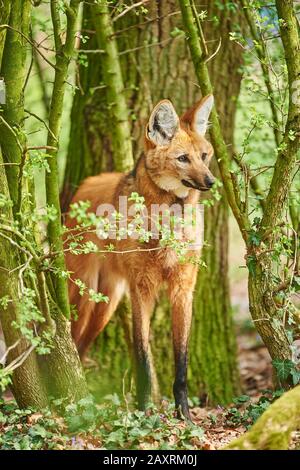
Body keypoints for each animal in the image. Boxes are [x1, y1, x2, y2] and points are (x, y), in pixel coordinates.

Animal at [65, 94, 216, 418]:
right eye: (183, 158)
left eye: (205, 155)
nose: (210, 181)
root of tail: (84, 185)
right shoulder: (141, 288)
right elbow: (143, 356)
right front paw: (144, 410)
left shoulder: (182, 288)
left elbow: (181, 360)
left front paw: (184, 414)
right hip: (85, 294)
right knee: (67, 338)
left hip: (106, 303)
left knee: (80, 346)